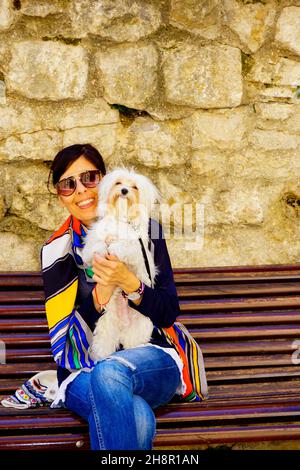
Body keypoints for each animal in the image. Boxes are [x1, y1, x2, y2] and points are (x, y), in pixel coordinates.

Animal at [81, 167, 161, 362]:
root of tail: (123, 328)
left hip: (140, 327)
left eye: (134, 187)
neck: (121, 216)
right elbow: (95, 247)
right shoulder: (96, 237)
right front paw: (103, 249)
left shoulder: (135, 246)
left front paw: (114, 248)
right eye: (118, 183)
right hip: (105, 327)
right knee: (104, 344)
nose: (124, 190)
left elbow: (124, 246)